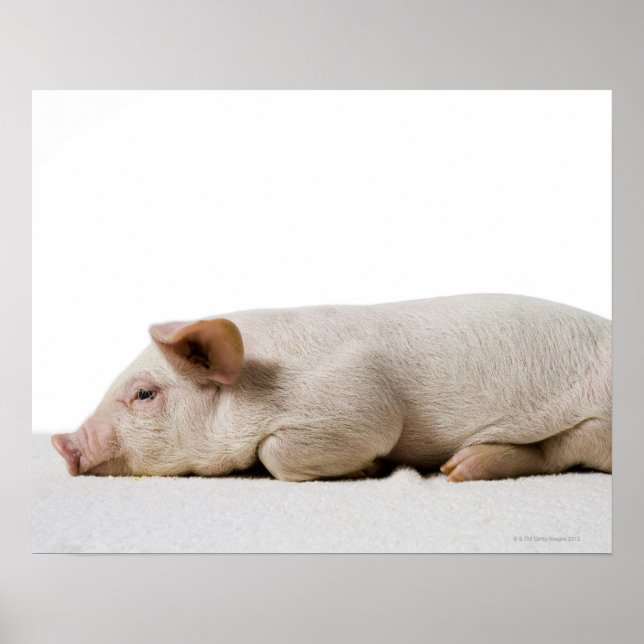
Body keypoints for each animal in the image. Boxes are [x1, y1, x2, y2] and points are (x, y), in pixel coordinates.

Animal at [51, 294, 612, 482]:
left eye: (144, 395)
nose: (62, 443)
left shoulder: (357, 398)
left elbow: (276, 455)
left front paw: (372, 468)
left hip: (601, 421)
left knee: (564, 450)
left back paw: (457, 469)